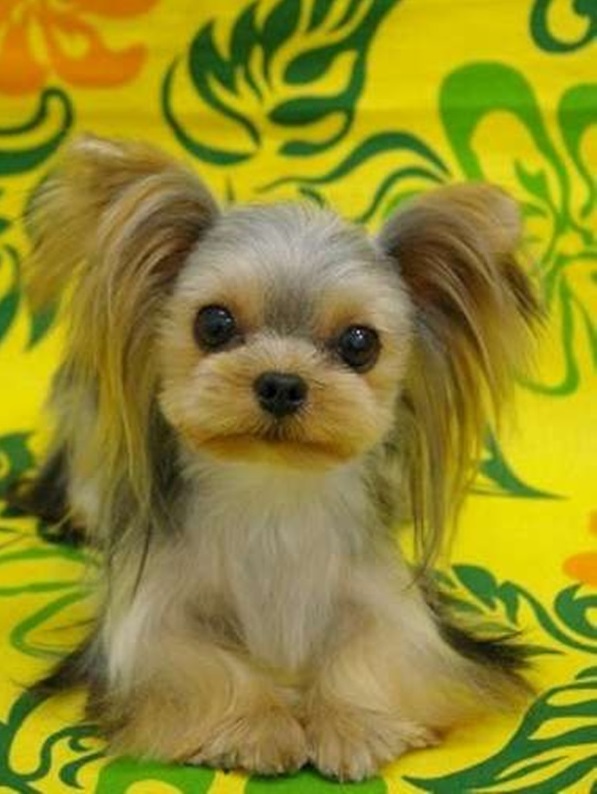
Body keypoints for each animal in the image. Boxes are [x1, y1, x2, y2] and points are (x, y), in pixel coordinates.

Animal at [16, 136, 540, 780]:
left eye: (360, 342)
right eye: (214, 322)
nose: (282, 384)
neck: (272, 489)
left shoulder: (393, 606)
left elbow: (384, 653)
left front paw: (354, 724)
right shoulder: (151, 617)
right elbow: (196, 664)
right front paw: (256, 728)